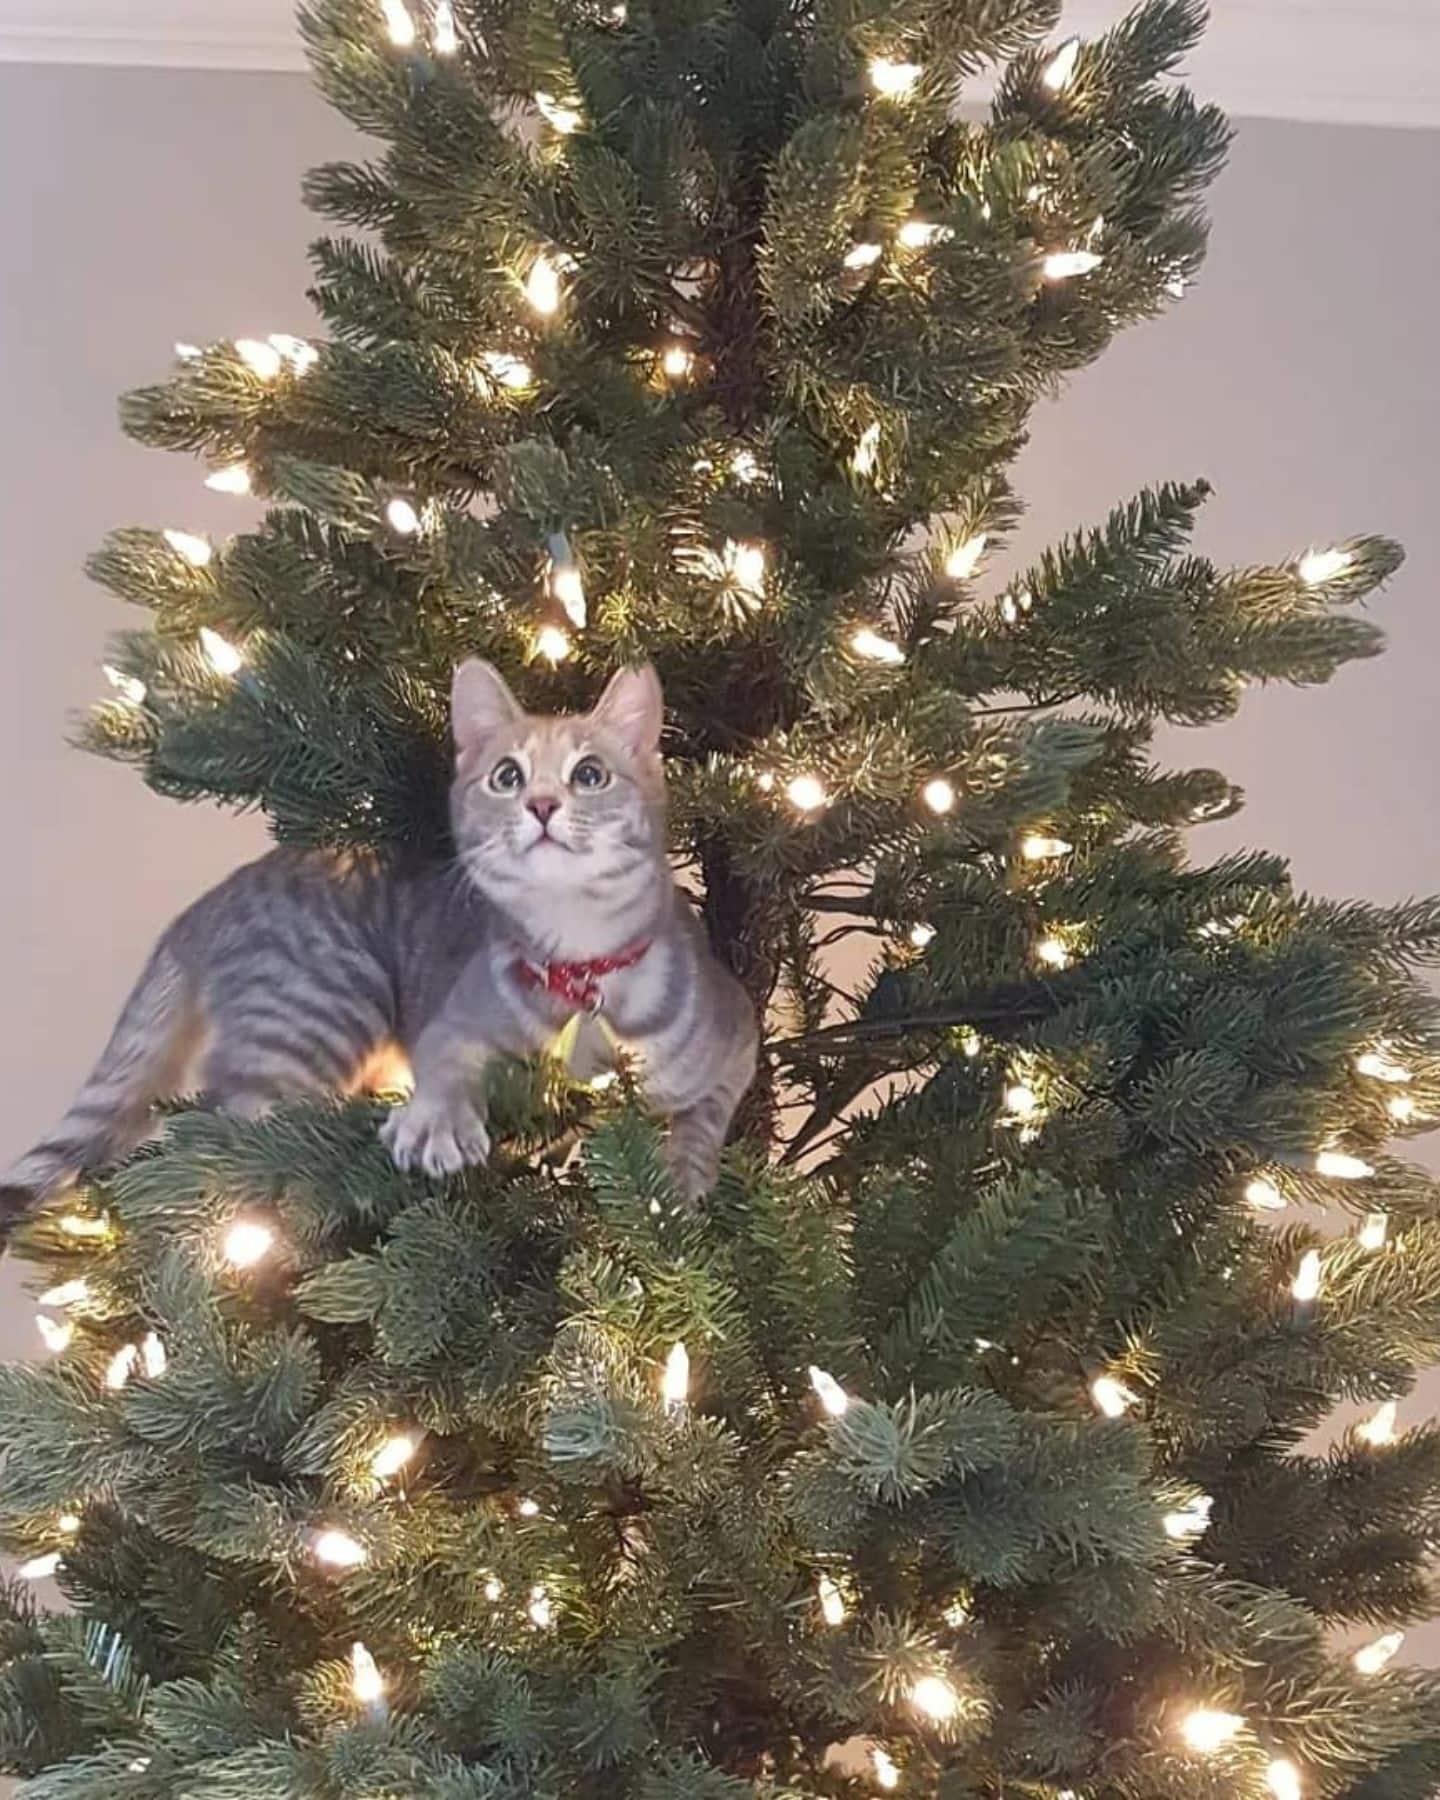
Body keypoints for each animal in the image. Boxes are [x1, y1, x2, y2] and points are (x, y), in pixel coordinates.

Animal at [0, 666, 759, 1238]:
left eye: (591, 774)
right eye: (507, 776)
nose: (541, 805)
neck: (581, 963)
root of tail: (209, 901)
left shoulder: (739, 1031)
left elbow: (705, 1119)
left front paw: (682, 1177)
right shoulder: (456, 1017)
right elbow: (448, 1064)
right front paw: (436, 1120)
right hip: (325, 1001)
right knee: (229, 1123)